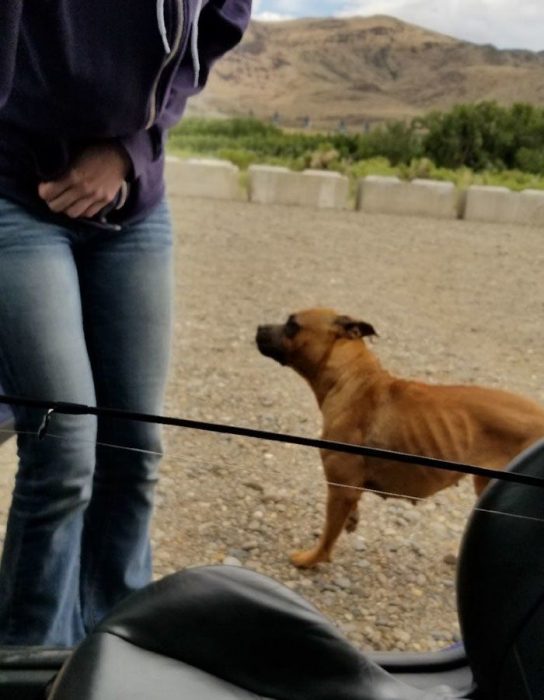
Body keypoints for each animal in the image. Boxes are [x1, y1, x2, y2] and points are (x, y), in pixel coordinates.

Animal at [255, 308, 544, 568]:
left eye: (292, 325)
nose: (259, 328)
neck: (352, 378)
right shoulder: (348, 489)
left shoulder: (340, 489)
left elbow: (327, 536)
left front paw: (311, 559)